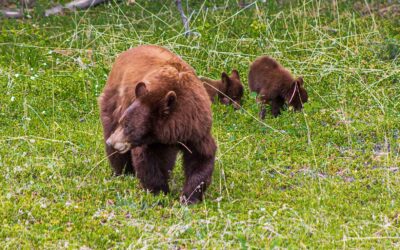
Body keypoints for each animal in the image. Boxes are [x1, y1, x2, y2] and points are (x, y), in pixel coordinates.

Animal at [99, 45, 217, 205]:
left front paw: (189, 197)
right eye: (122, 122)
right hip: (114, 99)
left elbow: (201, 156)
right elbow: (147, 159)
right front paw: (159, 193)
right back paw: (123, 172)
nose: (111, 141)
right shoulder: (149, 140)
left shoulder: (197, 129)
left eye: (128, 126)